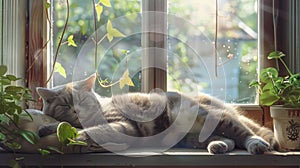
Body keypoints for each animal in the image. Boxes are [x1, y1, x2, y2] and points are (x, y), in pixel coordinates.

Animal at [36, 74, 280, 154]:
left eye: (83, 101)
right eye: (65, 105)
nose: (76, 110)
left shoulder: (122, 125)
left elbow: (90, 130)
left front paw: (75, 134)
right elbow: (68, 126)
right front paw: (47, 128)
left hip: (210, 116)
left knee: (244, 132)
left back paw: (256, 145)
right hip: (191, 138)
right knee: (228, 139)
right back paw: (218, 146)